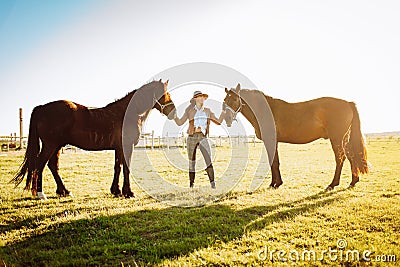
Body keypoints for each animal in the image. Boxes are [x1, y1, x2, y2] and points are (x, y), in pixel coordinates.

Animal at [12, 79, 176, 199]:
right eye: (164, 94)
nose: (173, 112)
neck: (127, 114)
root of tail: (42, 107)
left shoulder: (119, 148)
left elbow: (118, 167)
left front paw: (116, 191)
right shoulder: (127, 146)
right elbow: (126, 168)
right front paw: (128, 192)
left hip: (56, 146)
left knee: (52, 166)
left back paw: (64, 191)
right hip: (50, 146)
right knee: (39, 165)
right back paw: (41, 194)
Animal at [223, 84, 368, 191]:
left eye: (235, 99)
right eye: (225, 101)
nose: (227, 118)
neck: (265, 110)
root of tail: (348, 103)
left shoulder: (271, 141)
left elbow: (274, 162)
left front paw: (275, 184)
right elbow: (274, 161)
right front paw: (275, 183)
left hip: (336, 139)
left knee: (340, 158)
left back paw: (332, 184)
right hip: (344, 139)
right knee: (351, 156)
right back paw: (353, 182)